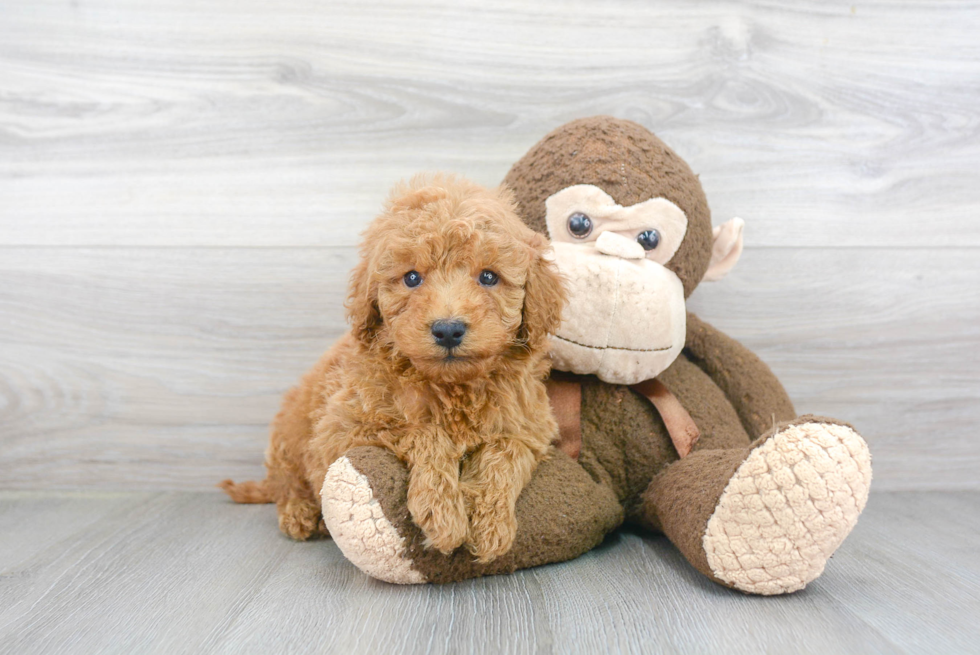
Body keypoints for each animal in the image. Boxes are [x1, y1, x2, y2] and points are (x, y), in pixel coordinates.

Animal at [218, 176, 564, 564]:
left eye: (489, 277)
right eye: (412, 278)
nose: (448, 329)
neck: (453, 388)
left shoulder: (530, 427)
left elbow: (506, 453)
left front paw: (491, 523)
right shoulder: (340, 432)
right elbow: (421, 431)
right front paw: (443, 514)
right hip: (289, 439)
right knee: (287, 483)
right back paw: (300, 513)